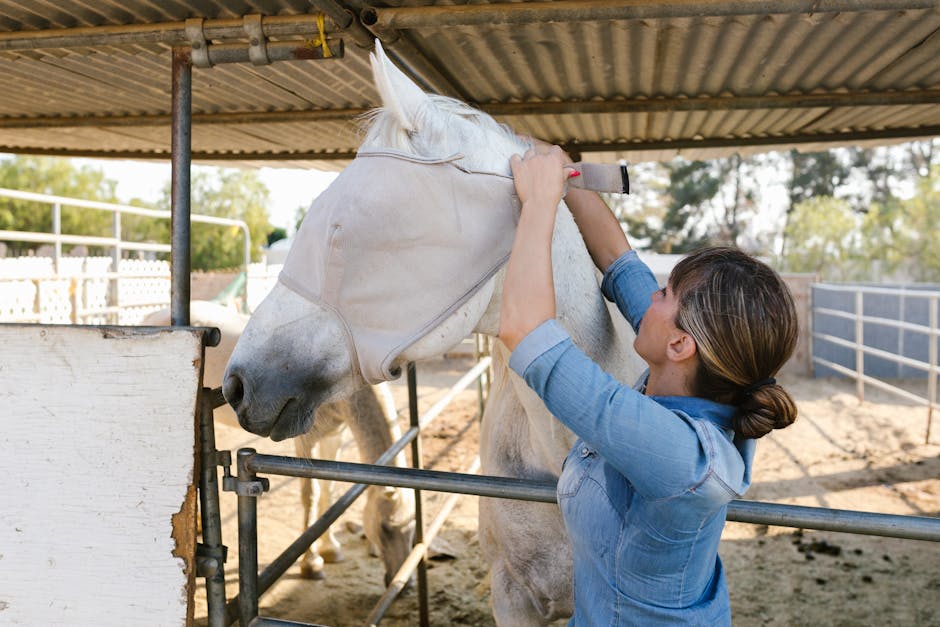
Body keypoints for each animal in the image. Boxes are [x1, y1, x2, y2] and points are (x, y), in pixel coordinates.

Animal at [142, 300, 414, 584]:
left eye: (413, 529)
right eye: (385, 528)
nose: (403, 583)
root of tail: (152, 315)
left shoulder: (334, 437)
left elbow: (329, 492)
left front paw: (331, 549)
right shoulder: (306, 441)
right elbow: (311, 495)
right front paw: (311, 564)